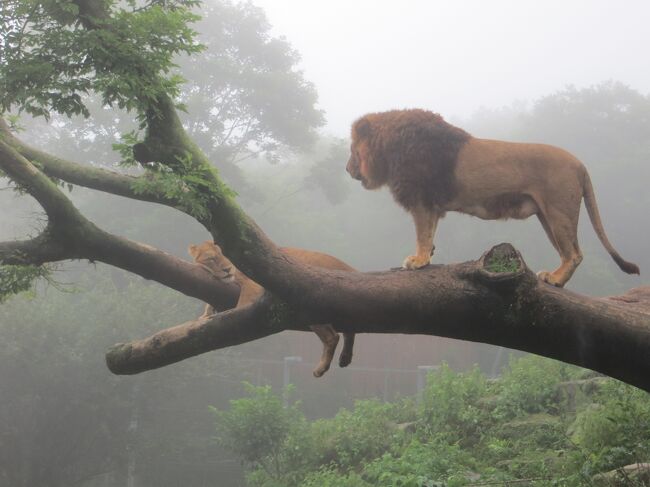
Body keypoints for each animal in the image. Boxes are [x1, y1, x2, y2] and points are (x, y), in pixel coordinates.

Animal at [187, 242, 354, 380]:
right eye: (212, 259)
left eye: (227, 255)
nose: (227, 269)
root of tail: (350, 269)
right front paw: (205, 315)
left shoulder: (252, 286)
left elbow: (241, 307)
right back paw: (345, 358)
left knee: (333, 337)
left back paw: (321, 368)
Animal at [346, 108, 636, 288]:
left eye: (352, 150)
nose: (347, 170)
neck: (391, 148)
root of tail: (580, 164)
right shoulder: (431, 205)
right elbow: (430, 233)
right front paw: (427, 256)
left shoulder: (421, 201)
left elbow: (422, 234)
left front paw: (418, 261)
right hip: (547, 217)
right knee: (570, 253)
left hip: (558, 212)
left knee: (574, 254)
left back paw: (555, 279)